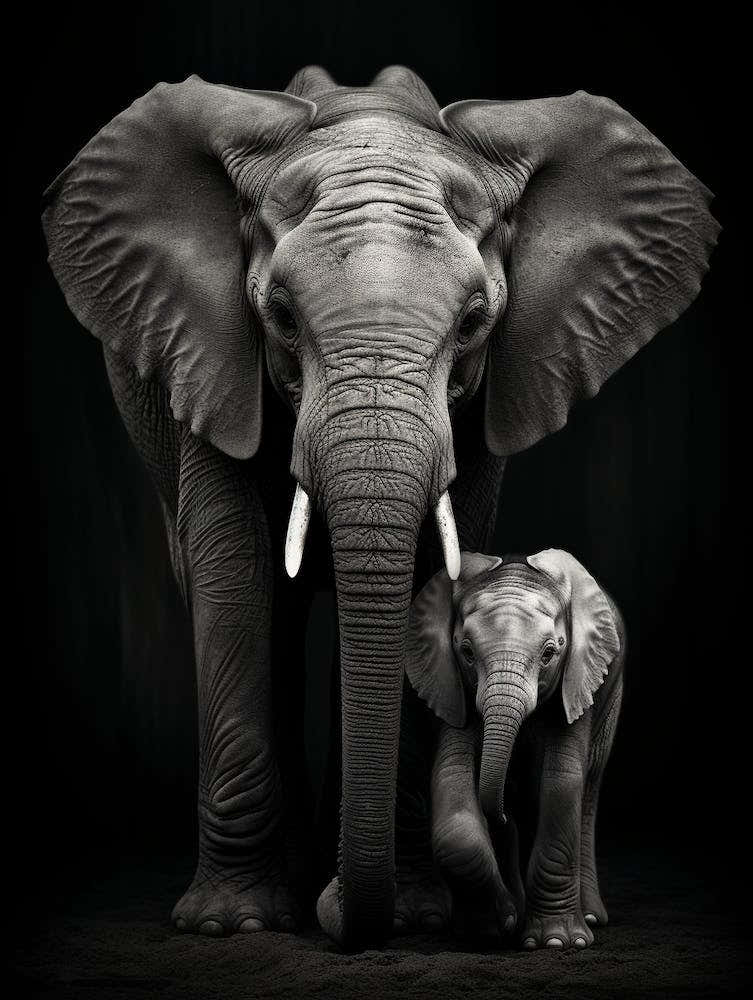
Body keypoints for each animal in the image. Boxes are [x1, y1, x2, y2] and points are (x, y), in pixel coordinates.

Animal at [406, 549, 625, 949]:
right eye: (466, 652)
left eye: (550, 653)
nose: (502, 815)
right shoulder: (450, 684)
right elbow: (452, 777)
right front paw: (496, 925)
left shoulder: (578, 677)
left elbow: (562, 780)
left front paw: (556, 943)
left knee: (588, 786)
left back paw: (589, 917)